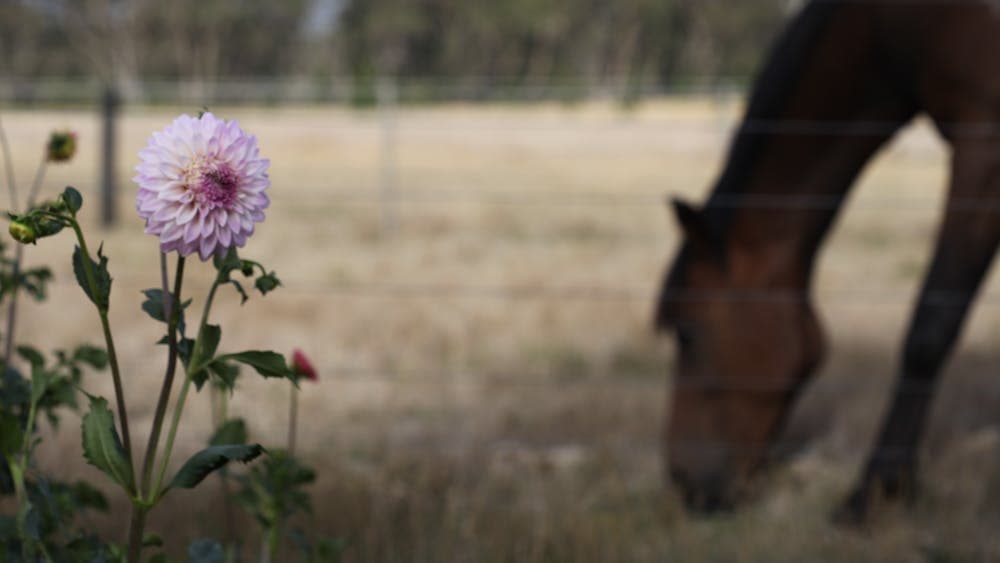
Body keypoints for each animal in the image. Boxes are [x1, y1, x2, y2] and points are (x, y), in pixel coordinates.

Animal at [655, 0, 1000, 521]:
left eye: (687, 332)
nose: (685, 482)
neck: (898, 21)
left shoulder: (984, 139)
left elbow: (929, 329)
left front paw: (875, 492)